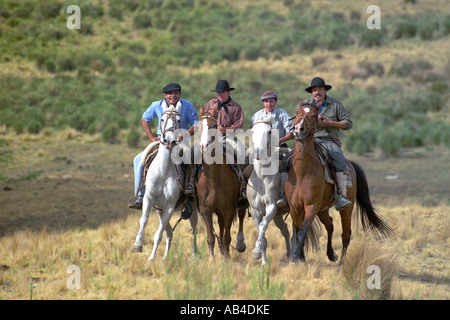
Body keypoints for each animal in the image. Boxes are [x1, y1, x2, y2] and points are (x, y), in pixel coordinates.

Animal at [132, 106, 199, 262]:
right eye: (162, 119)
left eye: (178, 120)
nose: (169, 140)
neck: (163, 170)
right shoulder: (150, 199)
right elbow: (144, 220)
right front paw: (137, 245)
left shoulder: (169, 205)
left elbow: (159, 232)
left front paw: (151, 257)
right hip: (159, 209)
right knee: (169, 233)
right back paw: (165, 258)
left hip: (192, 210)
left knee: (193, 230)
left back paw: (194, 255)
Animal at [196, 104, 246, 258]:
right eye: (199, 126)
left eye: (213, 125)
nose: (204, 146)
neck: (213, 179)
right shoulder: (206, 210)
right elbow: (211, 237)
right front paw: (212, 259)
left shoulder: (229, 209)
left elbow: (227, 237)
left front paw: (226, 257)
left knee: (240, 216)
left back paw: (238, 245)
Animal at [246, 114, 292, 264]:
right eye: (253, 131)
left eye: (269, 131)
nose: (258, 152)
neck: (262, 177)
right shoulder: (255, 211)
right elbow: (262, 232)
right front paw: (263, 261)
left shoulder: (271, 207)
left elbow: (262, 227)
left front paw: (256, 250)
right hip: (278, 216)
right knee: (285, 231)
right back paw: (289, 254)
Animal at [284, 104, 394, 264]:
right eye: (297, 112)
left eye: (314, 115)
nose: (298, 129)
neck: (302, 172)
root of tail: (351, 165)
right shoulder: (295, 208)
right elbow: (297, 232)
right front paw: (299, 257)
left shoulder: (311, 206)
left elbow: (303, 231)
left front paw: (296, 257)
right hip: (322, 209)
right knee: (330, 225)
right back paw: (331, 254)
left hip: (346, 208)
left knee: (346, 233)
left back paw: (342, 261)